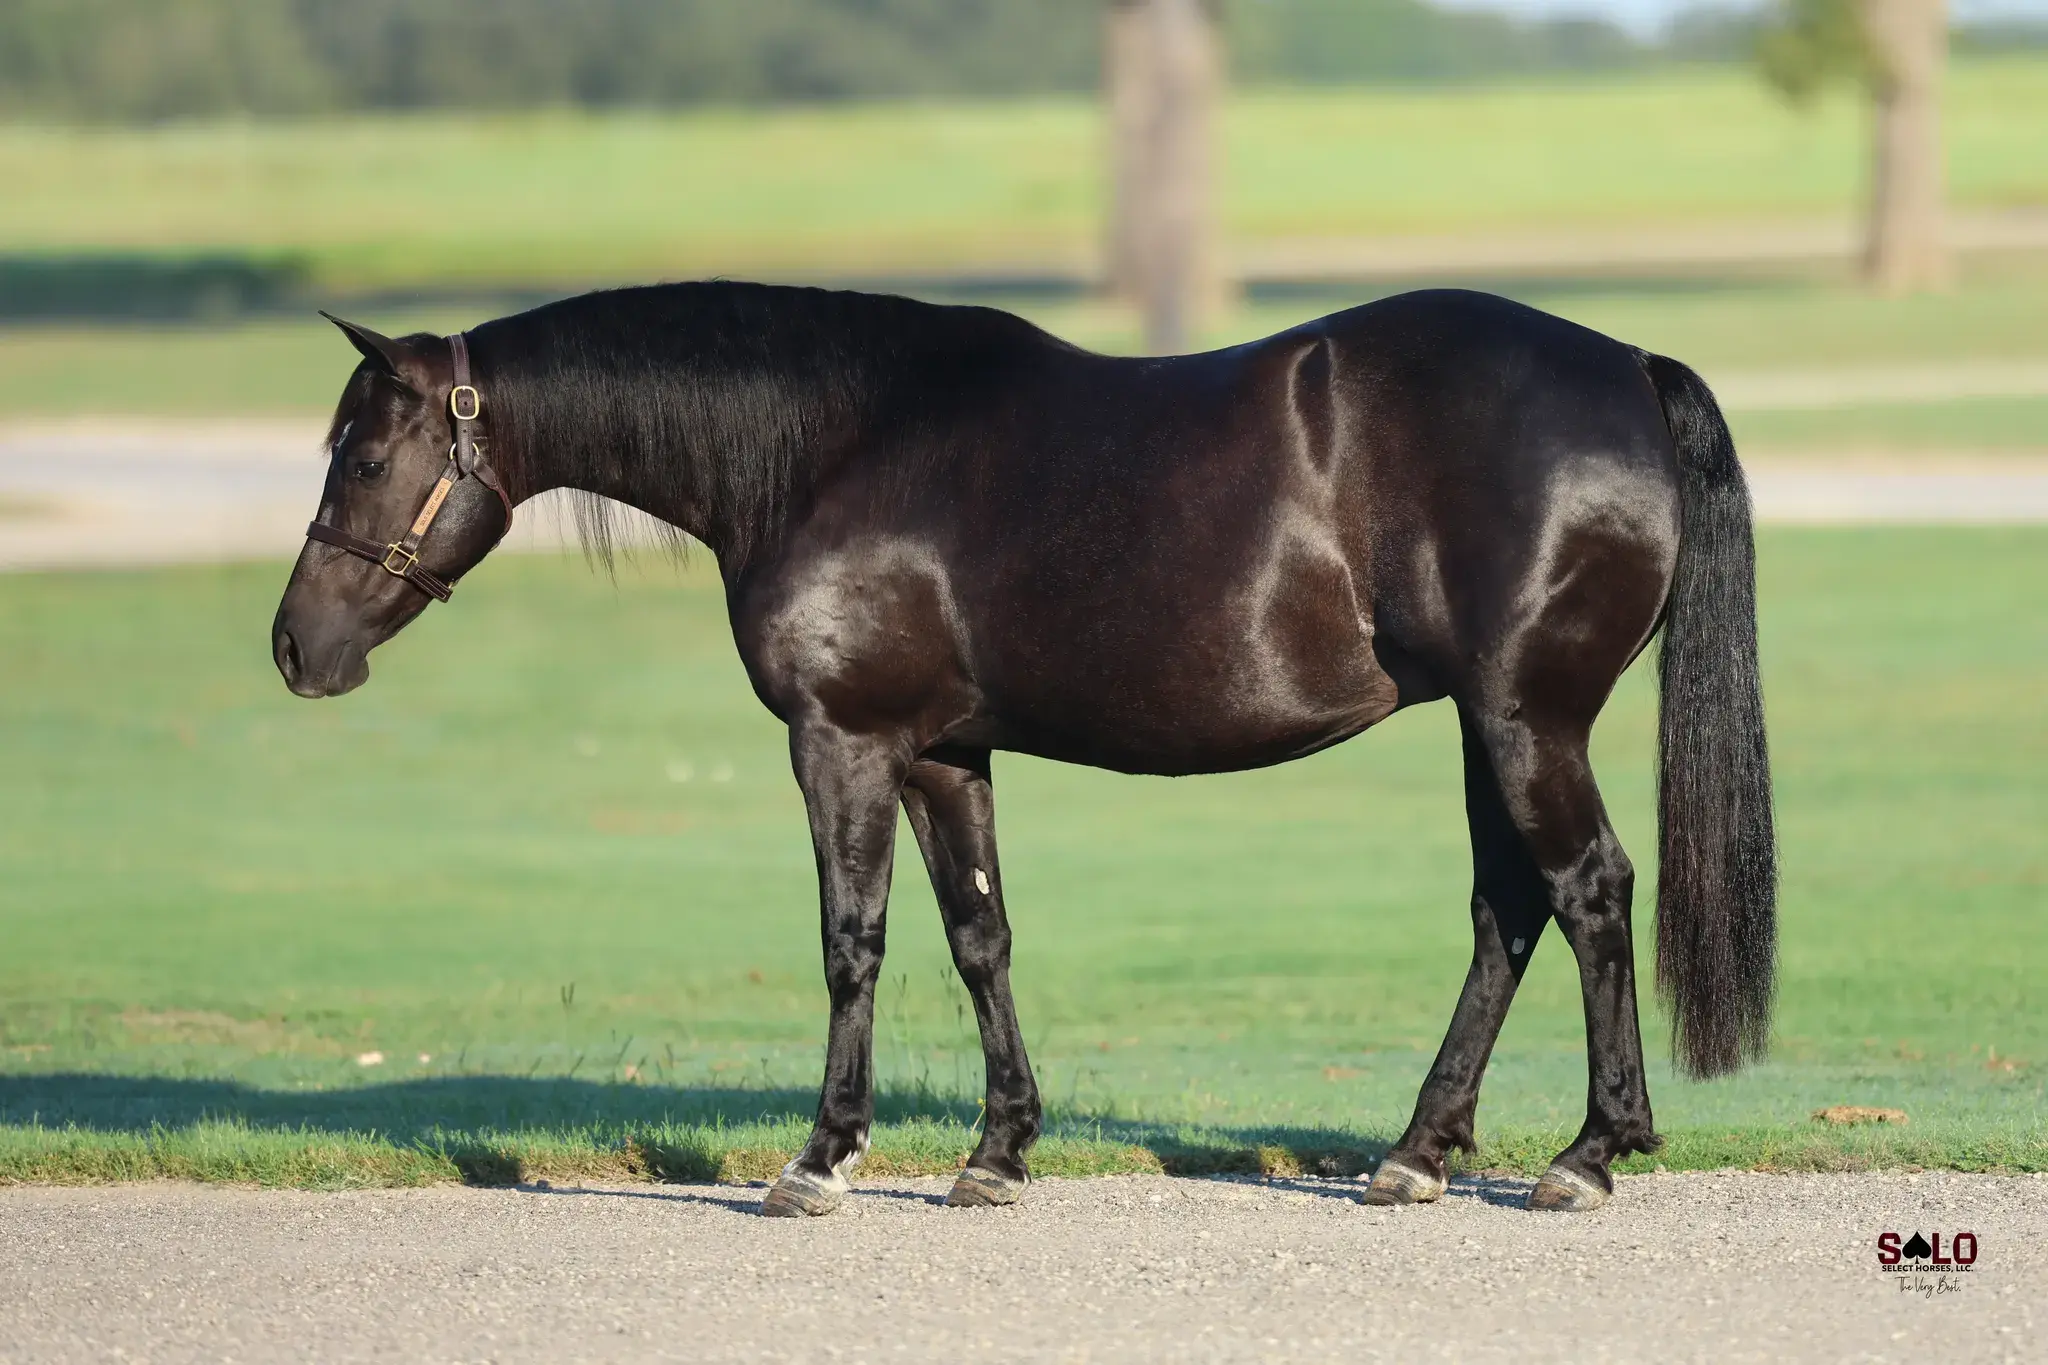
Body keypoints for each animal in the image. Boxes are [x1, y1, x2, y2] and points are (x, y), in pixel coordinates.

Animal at [272, 282, 1775, 1215]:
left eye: (364, 457)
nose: (297, 647)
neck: (833, 447)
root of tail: (1626, 369)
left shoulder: (843, 743)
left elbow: (855, 942)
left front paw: (823, 1157)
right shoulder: (944, 754)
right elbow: (978, 938)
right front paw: (997, 1153)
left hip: (1527, 718)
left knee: (1587, 891)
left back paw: (1589, 1153)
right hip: (1483, 720)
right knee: (1508, 909)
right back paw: (1416, 1151)